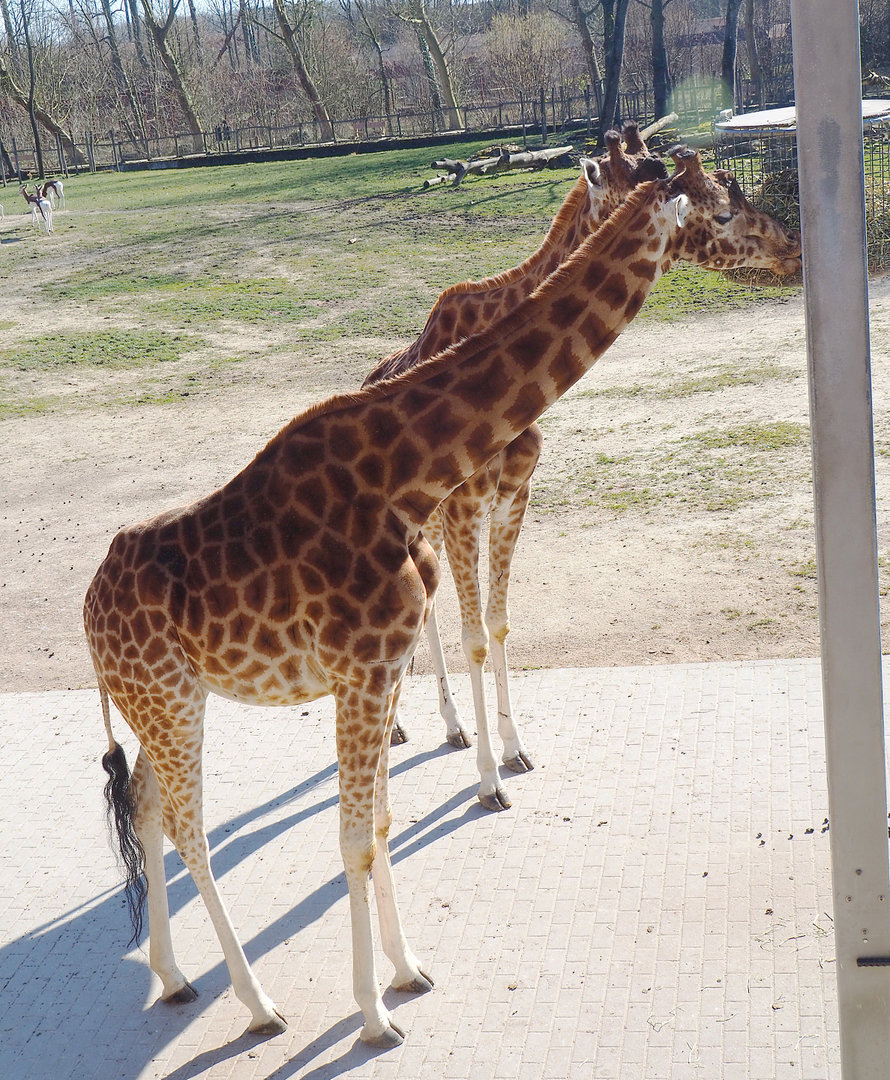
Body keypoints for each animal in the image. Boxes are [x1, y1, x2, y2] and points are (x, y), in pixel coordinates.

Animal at [364, 132, 668, 811]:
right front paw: (488, 780)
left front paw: (513, 748)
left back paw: (447, 727)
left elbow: (499, 627)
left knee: (424, 609)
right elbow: (474, 635)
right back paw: (401, 729)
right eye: (620, 185)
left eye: (660, 169)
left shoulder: (512, 500)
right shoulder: (465, 510)